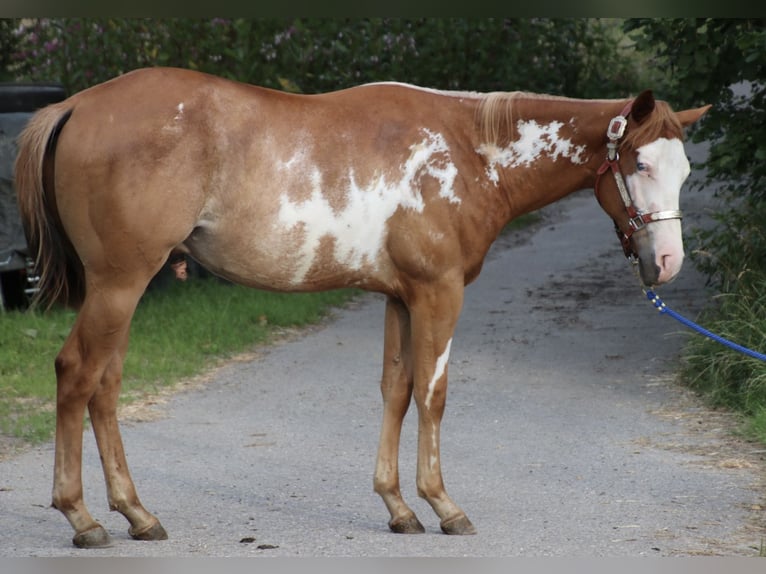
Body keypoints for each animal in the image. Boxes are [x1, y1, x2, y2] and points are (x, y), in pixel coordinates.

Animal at [12, 66, 712, 548]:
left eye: (683, 171)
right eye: (639, 163)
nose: (667, 262)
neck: (467, 150)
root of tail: (76, 105)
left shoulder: (400, 297)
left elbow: (396, 390)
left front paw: (399, 509)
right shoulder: (438, 292)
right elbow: (433, 393)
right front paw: (443, 506)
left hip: (123, 290)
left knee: (105, 387)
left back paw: (137, 514)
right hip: (119, 284)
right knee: (77, 375)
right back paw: (82, 518)